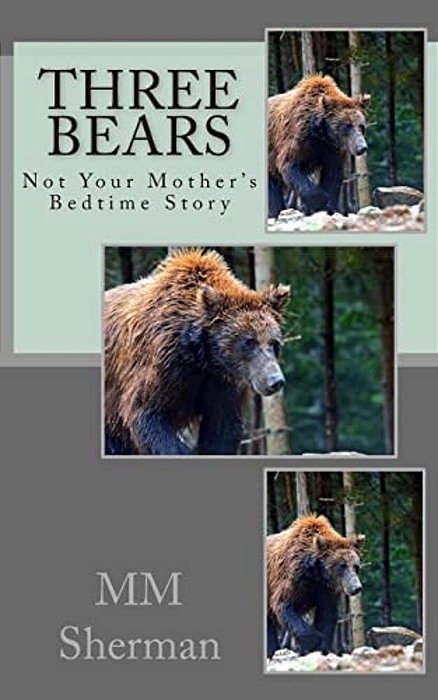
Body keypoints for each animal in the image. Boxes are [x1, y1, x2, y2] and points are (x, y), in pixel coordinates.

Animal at [104, 249, 290, 456]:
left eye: (274, 343)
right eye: (249, 342)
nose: (275, 380)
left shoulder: (221, 382)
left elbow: (222, 429)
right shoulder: (160, 365)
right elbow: (147, 412)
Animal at [267, 514, 365, 657]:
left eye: (356, 566)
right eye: (342, 566)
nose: (356, 587)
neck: (316, 574)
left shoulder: (325, 589)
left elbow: (327, 614)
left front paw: (322, 646)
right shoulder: (291, 580)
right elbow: (285, 605)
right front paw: (313, 640)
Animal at [268, 74, 370, 218]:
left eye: (361, 126)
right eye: (347, 126)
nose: (362, 147)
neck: (323, 133)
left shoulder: (332, 150)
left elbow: (332, 174)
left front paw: (328, 207)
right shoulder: (298, 140)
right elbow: (291, 165)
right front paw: (319, 200)